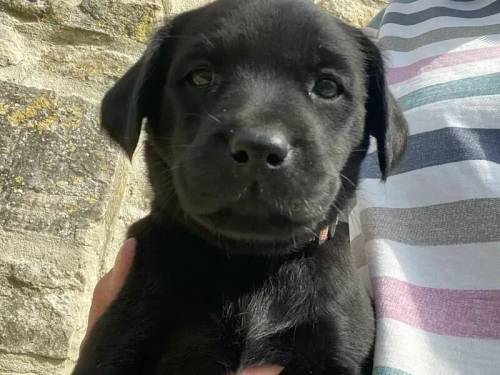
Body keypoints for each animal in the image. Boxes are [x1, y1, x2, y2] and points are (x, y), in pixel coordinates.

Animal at [76, 0, 408, 374]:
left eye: (327, 87)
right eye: (201, 76)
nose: (259, 148)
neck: (250, 265)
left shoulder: (338, 344)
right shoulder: (123, 332)